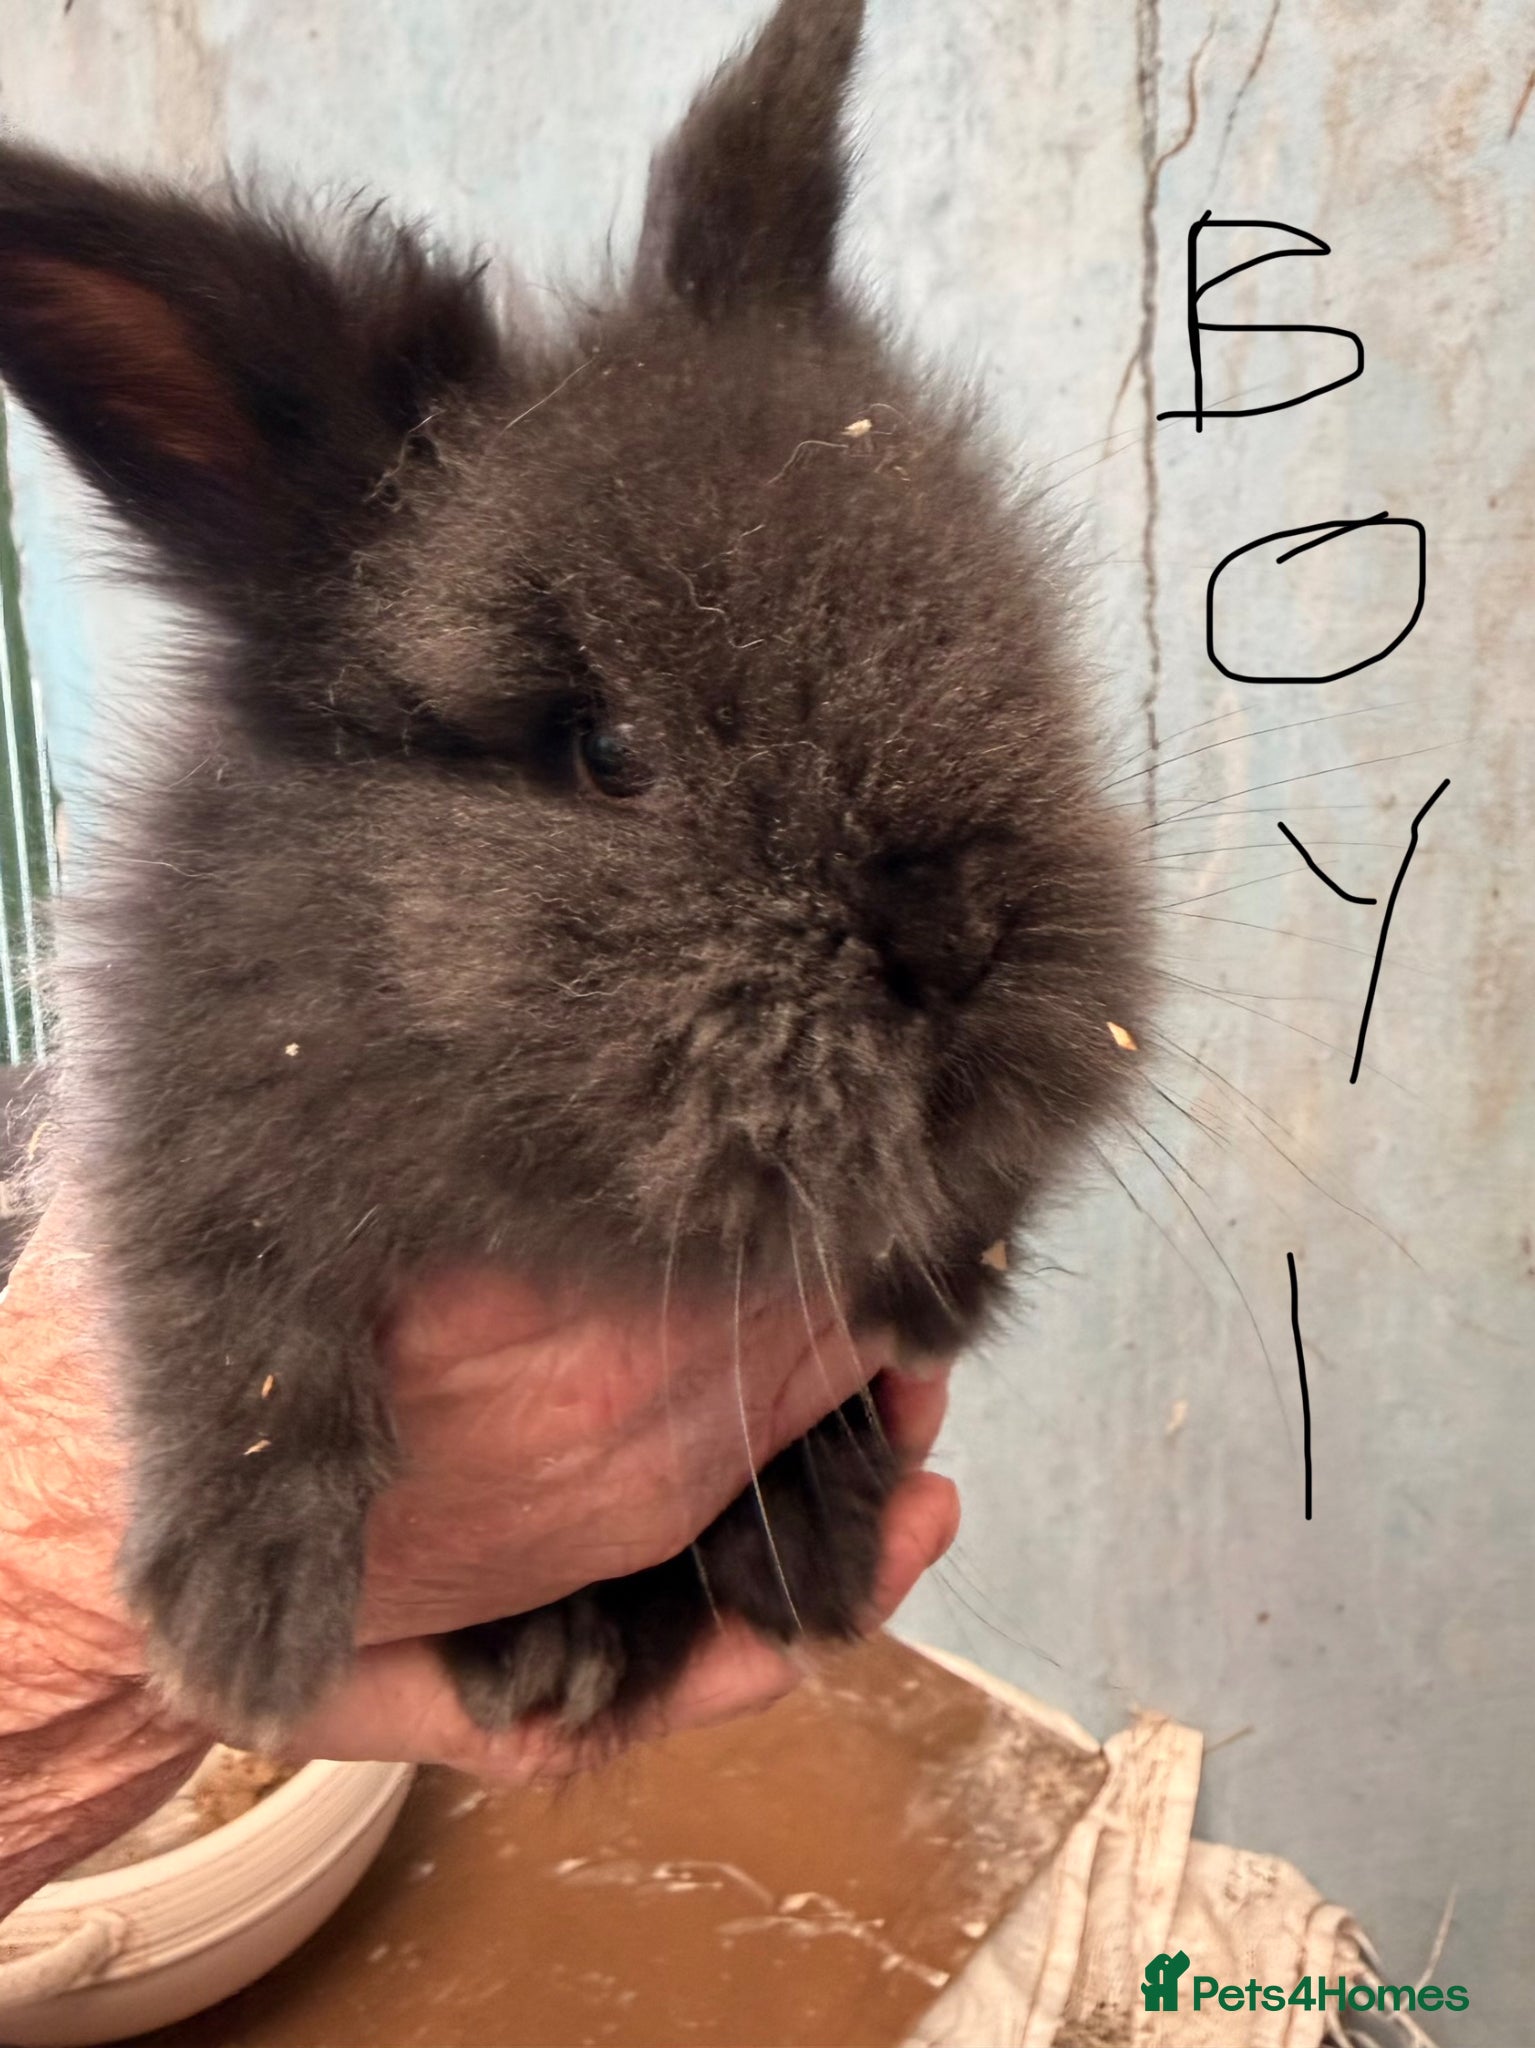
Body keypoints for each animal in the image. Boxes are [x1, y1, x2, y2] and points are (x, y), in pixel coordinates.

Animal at [0, 0, 1148, 1742]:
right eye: (601, 749)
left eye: (990, 625)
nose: (949, 936)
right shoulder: (171, 1087)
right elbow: (225, 1309)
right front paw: (239, 1627)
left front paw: (918, 1321)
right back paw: (546, 1647)